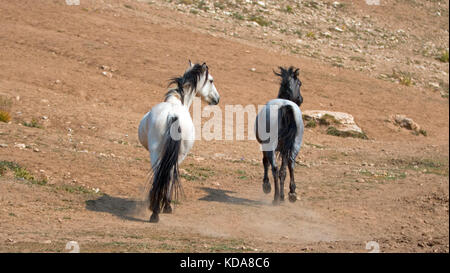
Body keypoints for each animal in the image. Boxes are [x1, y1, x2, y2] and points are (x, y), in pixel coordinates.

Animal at [138, 60, 221, 222]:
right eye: (211, 80)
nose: (217, 98)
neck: (176, 102)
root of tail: (173, 115)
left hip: (157, 153)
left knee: (161, 174)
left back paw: (155, 209)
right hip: (174, 155)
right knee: (165, 174)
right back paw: (158, 208)